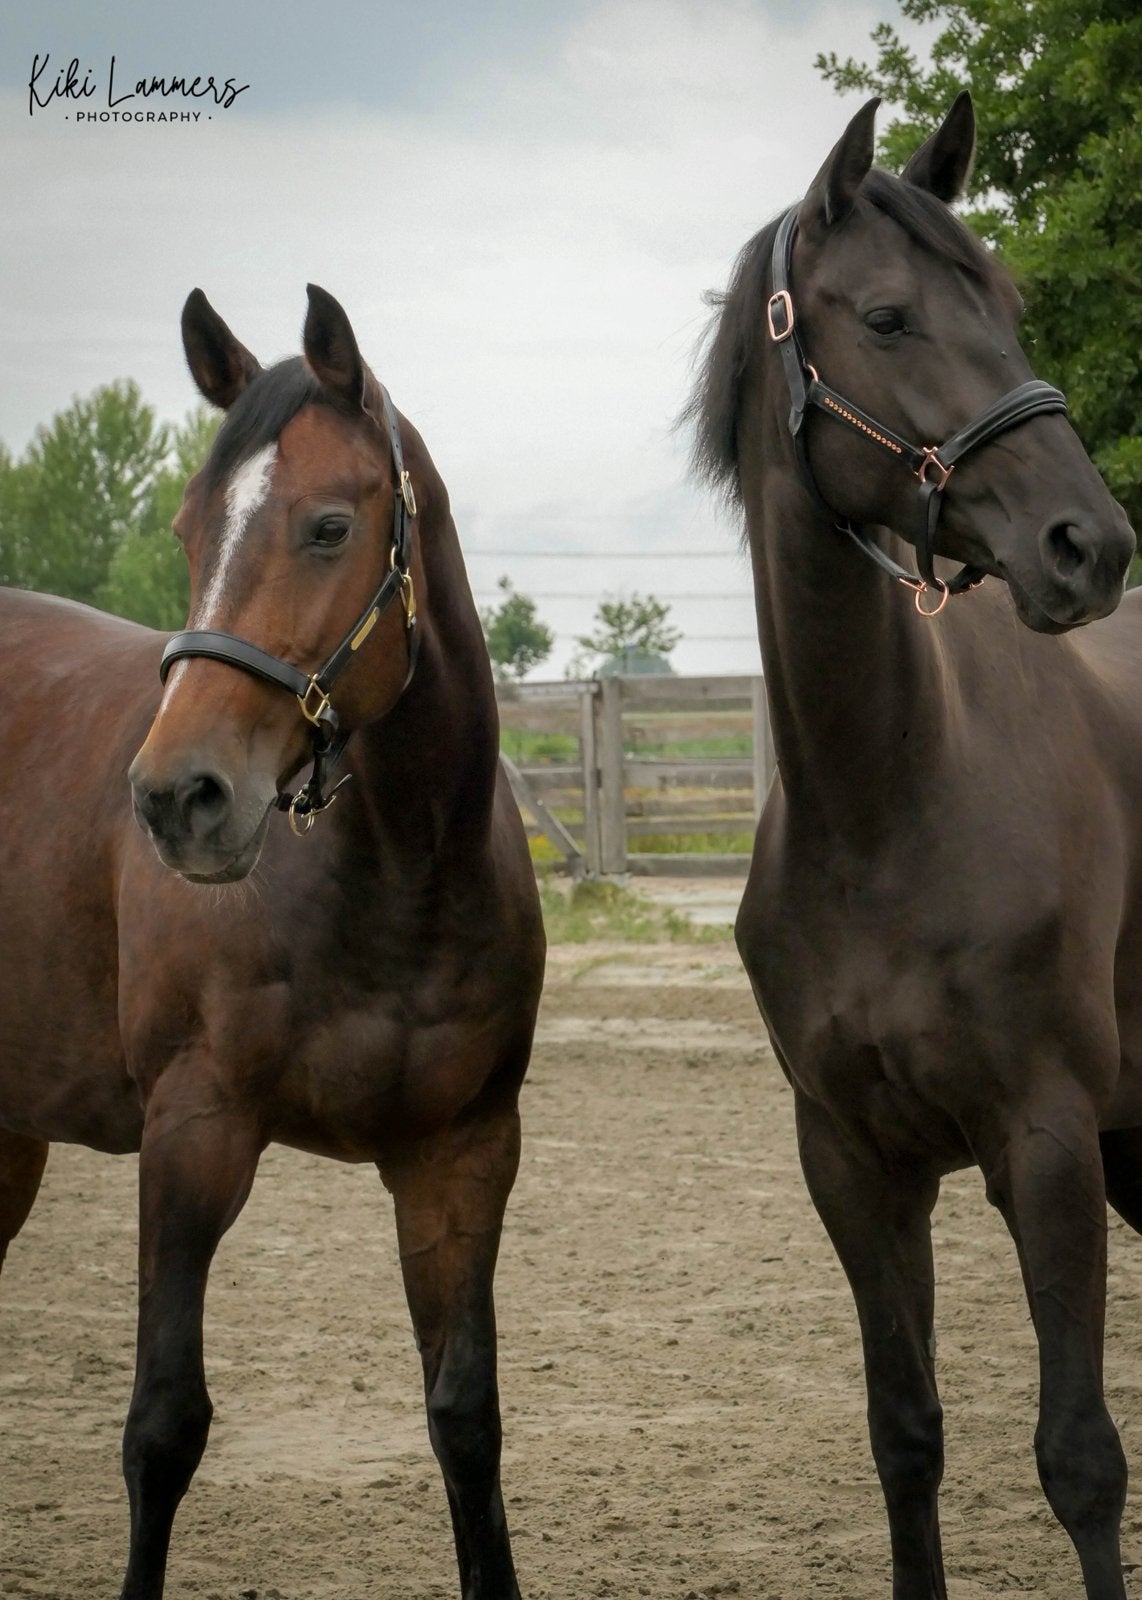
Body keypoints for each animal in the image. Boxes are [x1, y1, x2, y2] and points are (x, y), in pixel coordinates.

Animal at [0, 283, 544, 1600]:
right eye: (192, 532)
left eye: (329, 526)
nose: (177, 797)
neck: (397, 872)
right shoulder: (193, 1135)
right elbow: (163, 1426)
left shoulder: (462, 1157)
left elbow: (466, 1418)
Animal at [687, 91, 1139, 1598]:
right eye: (886, 318)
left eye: (1004, 301)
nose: (1089, 545)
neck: (886, 802)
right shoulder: (854, 1165)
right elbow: (906, 1439)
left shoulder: (1044, 1144)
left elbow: (1079, 1459)